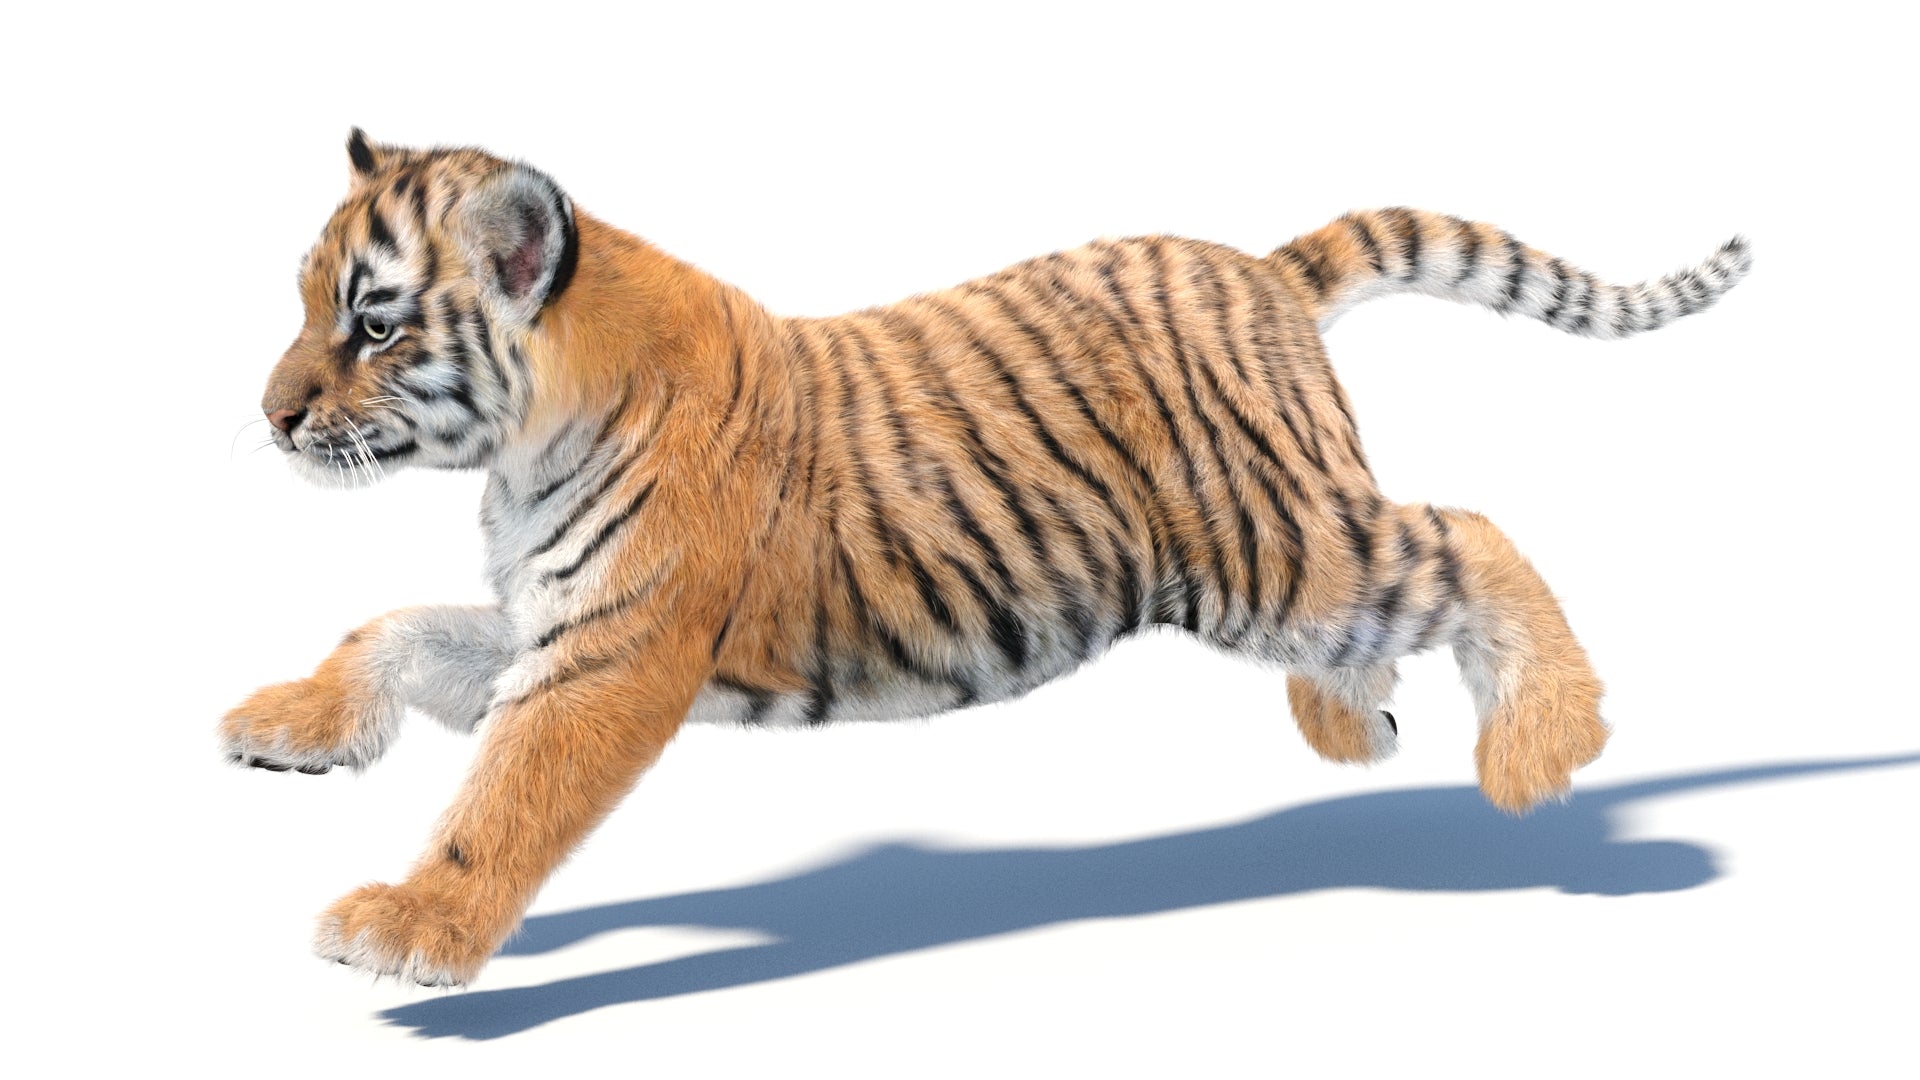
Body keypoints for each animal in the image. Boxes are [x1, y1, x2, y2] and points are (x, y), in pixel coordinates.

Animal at [222, 129, 1751, 987]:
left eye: (371, 325)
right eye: (306, 304)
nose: (270, 415)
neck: (522, 442)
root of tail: (1257, 267)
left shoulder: (610, 656)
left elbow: (505, 803)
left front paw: (408, 927)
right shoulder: (551, 622)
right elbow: (392, 631)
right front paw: (285, 725)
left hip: (1273, 556)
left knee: (1469, 536)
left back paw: (1543, 746)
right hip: (1291, 556)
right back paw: (1353, 725)